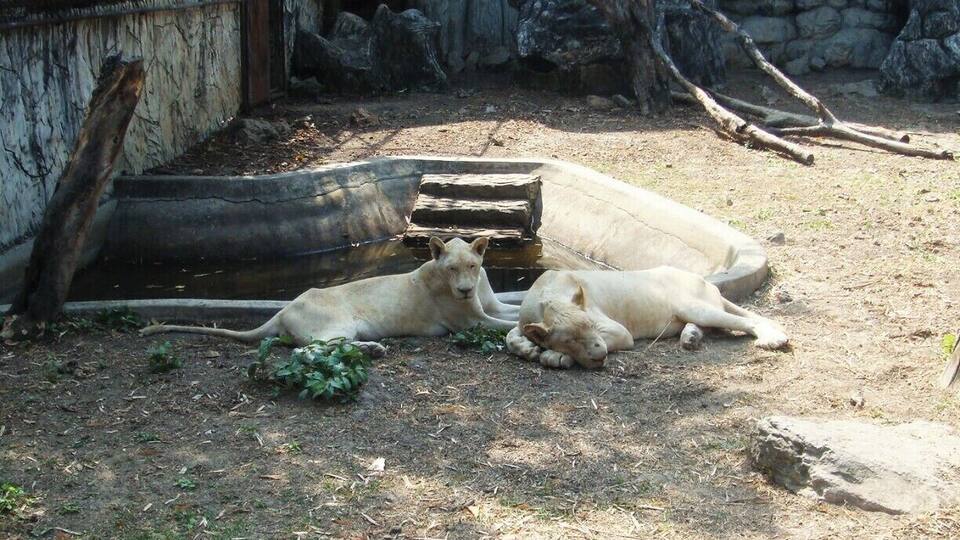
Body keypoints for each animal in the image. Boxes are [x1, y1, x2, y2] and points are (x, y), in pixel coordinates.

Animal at [140, 237, 520, 357]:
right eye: (451, 269)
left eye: (472, 266)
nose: (464, 290)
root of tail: (283, 310)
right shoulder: (471, 323)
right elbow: (505, 325)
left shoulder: (492, 305)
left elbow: (515, 309)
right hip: (338, 325)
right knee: (308, 349)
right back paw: (373, 350)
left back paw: (373, 348)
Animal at [505, 268, 789, 369]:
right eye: (570, 339)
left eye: (590, 327)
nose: (600, 355)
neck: (548, 296)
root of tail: (706, 281)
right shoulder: (524, 321)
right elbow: (510, 334)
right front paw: (528, 348)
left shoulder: (619, 332)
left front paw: (553, 356)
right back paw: (690, 338)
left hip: (693, 306)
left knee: (745, 321)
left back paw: (774, 339)